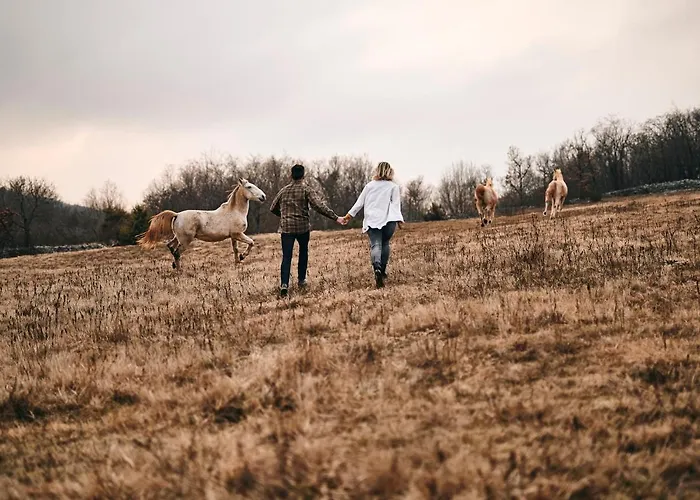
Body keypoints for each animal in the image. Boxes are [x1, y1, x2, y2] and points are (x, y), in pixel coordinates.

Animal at [136, 178, 266, 269]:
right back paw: (179, 270)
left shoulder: (233, 236)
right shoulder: (238, 234)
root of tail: (177, 215)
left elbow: (235, 249)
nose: (263, 196)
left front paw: (237, 262)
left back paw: (174, 265)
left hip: (178, 238)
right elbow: (251, 242)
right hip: (185, 241)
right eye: (249, 186)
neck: (235, 211)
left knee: (170, 247)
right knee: (177, 252)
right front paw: (242, 256)